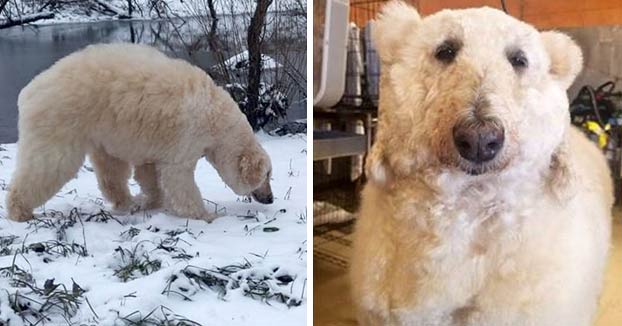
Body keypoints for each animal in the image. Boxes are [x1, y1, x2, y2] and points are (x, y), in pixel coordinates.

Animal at [4, 42, 272, 222]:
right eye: (267, 175)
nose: (270, 198)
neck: (215, 115)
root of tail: (28, 91)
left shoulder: (157, 143)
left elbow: (149, 171)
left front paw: (151, 201)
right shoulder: (188, 135)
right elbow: (178, 179)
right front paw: (207, 215)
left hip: (100, 128)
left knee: (111, 169)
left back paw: (127, 201)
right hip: (61, 120)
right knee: (49, 165)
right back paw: (20, 210)